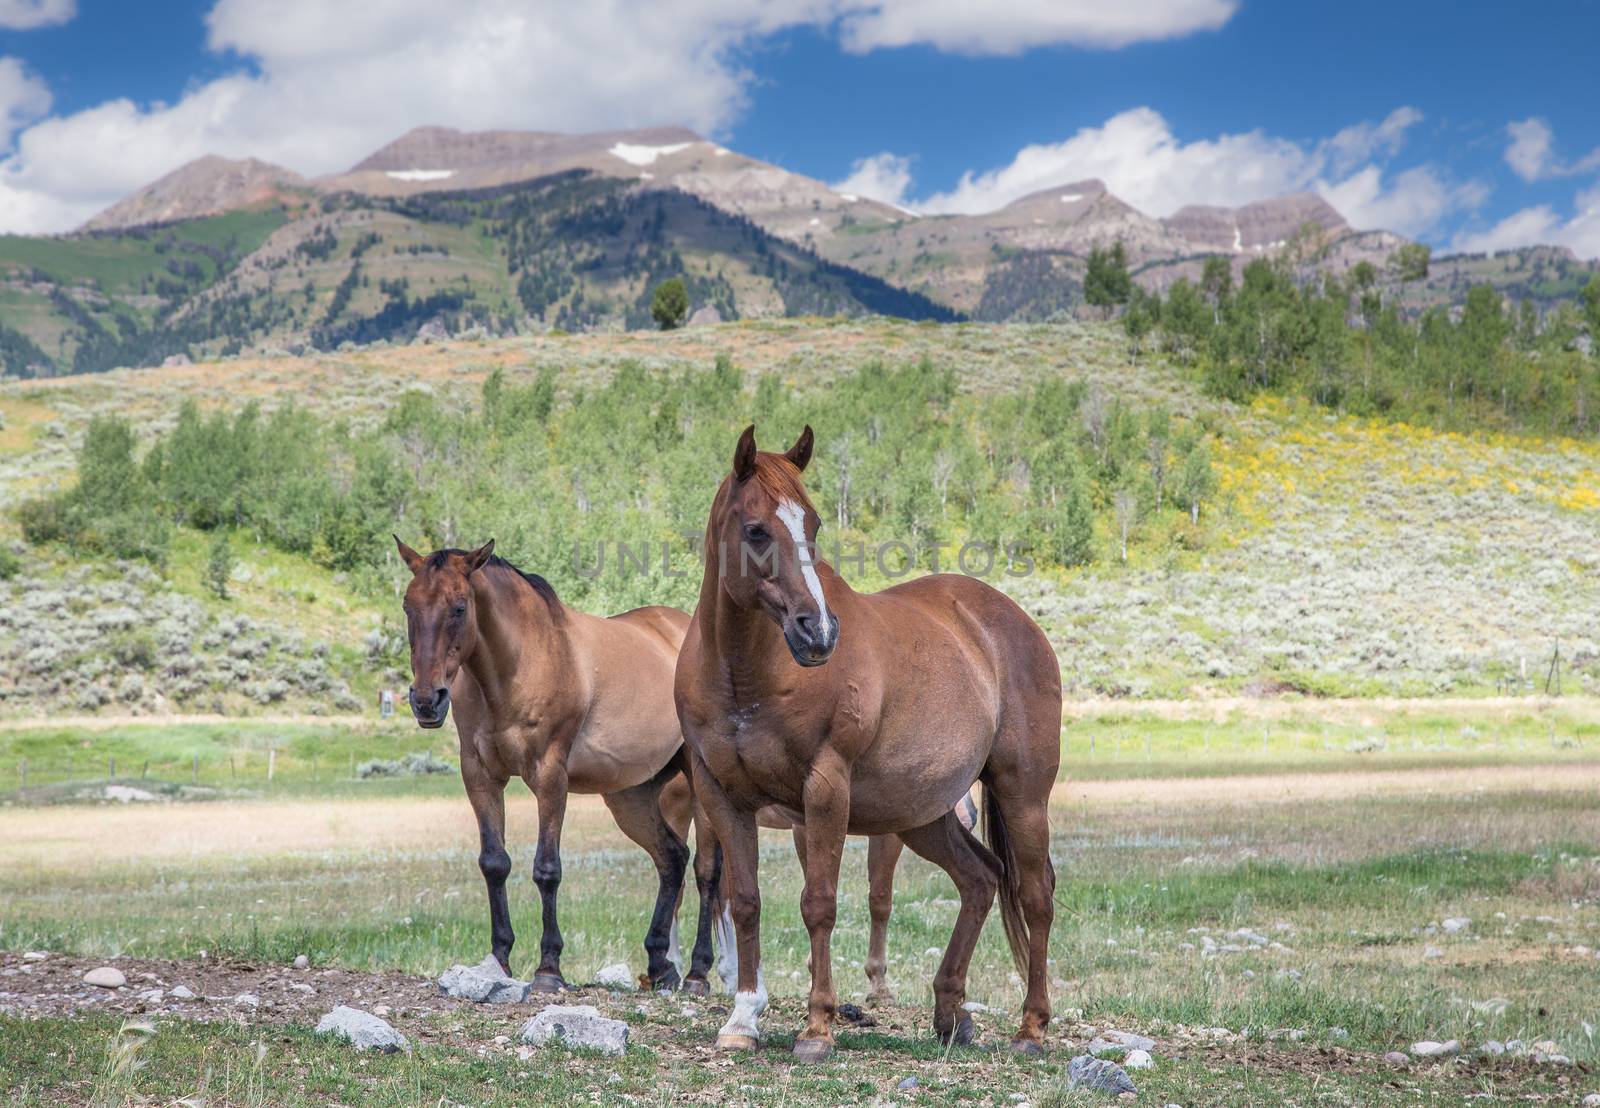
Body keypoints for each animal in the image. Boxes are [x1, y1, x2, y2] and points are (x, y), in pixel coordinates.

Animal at [400, 537, 720, 992]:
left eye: (459, 607)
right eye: (408, 606)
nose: (427, 700)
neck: (517, 666)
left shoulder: (550, 776)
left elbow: (547, 869)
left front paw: (549, 968)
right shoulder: (479, 775)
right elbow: (494, 863)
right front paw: (499, 959)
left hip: (697, 782)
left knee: (706, 870)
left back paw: (696, 972)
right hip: (631, 796)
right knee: (671, 859)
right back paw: (661, 966)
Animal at [675, 429, 1062, 1063]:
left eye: (812, 524)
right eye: (756, 529)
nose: (818, 632)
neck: (746, 674)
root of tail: (1014, 622)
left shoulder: (824, 790)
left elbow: (819, 904)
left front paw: (817, 1028)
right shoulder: (721, 796)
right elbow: (745, 900)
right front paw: (743, 1018)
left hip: (1022, 793)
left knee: (1034, 895)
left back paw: (1031, 1028)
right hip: (922, 814)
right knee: (980, 879)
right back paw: (950, 1014)